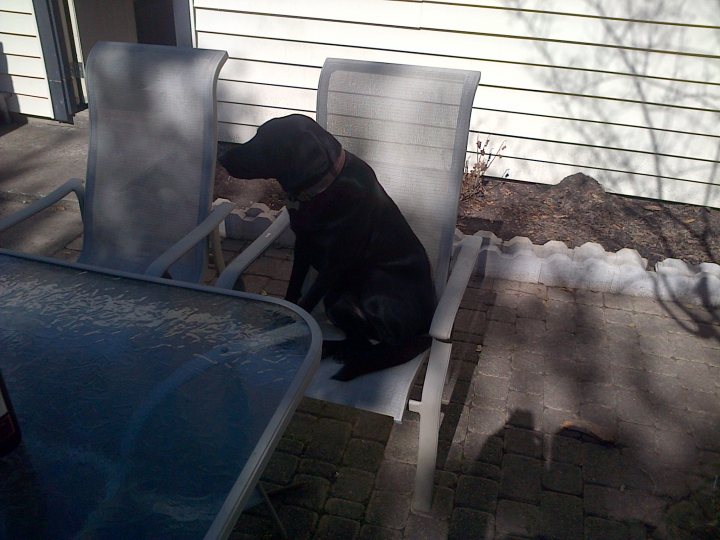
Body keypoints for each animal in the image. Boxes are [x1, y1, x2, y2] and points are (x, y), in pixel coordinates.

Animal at [219, 113, 434, 380]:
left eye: (267, 140)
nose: (222, 158)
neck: (322, 189)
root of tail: (427, 326)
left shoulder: (334, 266)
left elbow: (307, 301)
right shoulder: (302, 248)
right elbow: (294, 291)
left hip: (375, 281)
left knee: (390, 344)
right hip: (335, 301)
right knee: (361, 340)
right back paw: (335, 350)